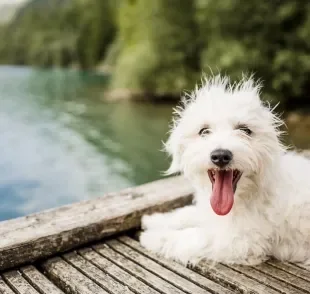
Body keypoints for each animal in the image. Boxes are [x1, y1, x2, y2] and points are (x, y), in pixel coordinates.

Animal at [139, 74, 310, 266]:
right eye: (204, 131)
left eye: (245, 130)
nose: (220, 156)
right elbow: (187, 213)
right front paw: (155, 219)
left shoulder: (241, 241)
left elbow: (192, 237)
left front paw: (152, 237)